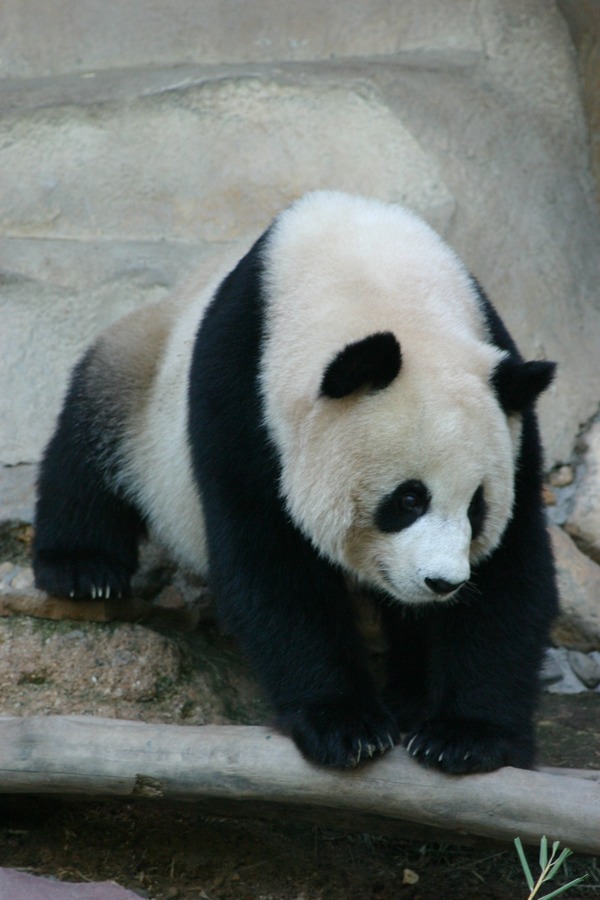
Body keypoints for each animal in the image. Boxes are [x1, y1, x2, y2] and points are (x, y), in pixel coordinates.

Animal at [32, 190, 556, 772]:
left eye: (476, 507)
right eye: (408, 499)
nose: (443, 582)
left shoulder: (508, 408)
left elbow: (511, 573)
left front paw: (465, 736)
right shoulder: (242, 393)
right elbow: (271, 564)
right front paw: (346, 726)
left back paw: (410, 696)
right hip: (144, 375)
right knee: (90, 441)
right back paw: (83, 569)